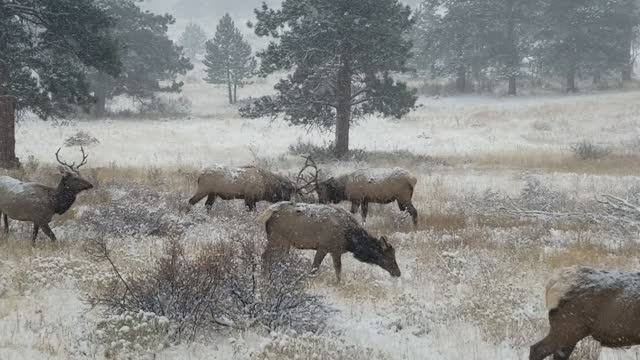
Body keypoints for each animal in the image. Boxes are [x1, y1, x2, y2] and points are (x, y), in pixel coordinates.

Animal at [256, 201, 400, 282]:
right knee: (265, 256)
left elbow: (334, 269)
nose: (398, 273)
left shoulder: (334, 250)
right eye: (388, 256)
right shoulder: (326, 247)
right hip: (278, 238)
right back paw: (264, 277)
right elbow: (319, 268)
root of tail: (267, 213)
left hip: (284, 241)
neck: (350, 240)